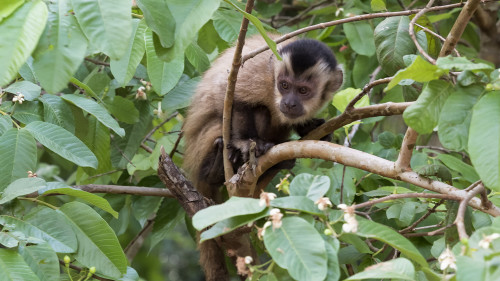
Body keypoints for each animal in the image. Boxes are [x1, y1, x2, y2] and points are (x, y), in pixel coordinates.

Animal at [184, 35, 344, 280]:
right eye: (284, 85)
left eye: (303, 90)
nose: (289, 102)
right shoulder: (258, 74)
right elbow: (229, 95)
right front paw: (247, 141)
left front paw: (311, 128)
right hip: (201, 146)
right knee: (255, 112)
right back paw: (215, 168)